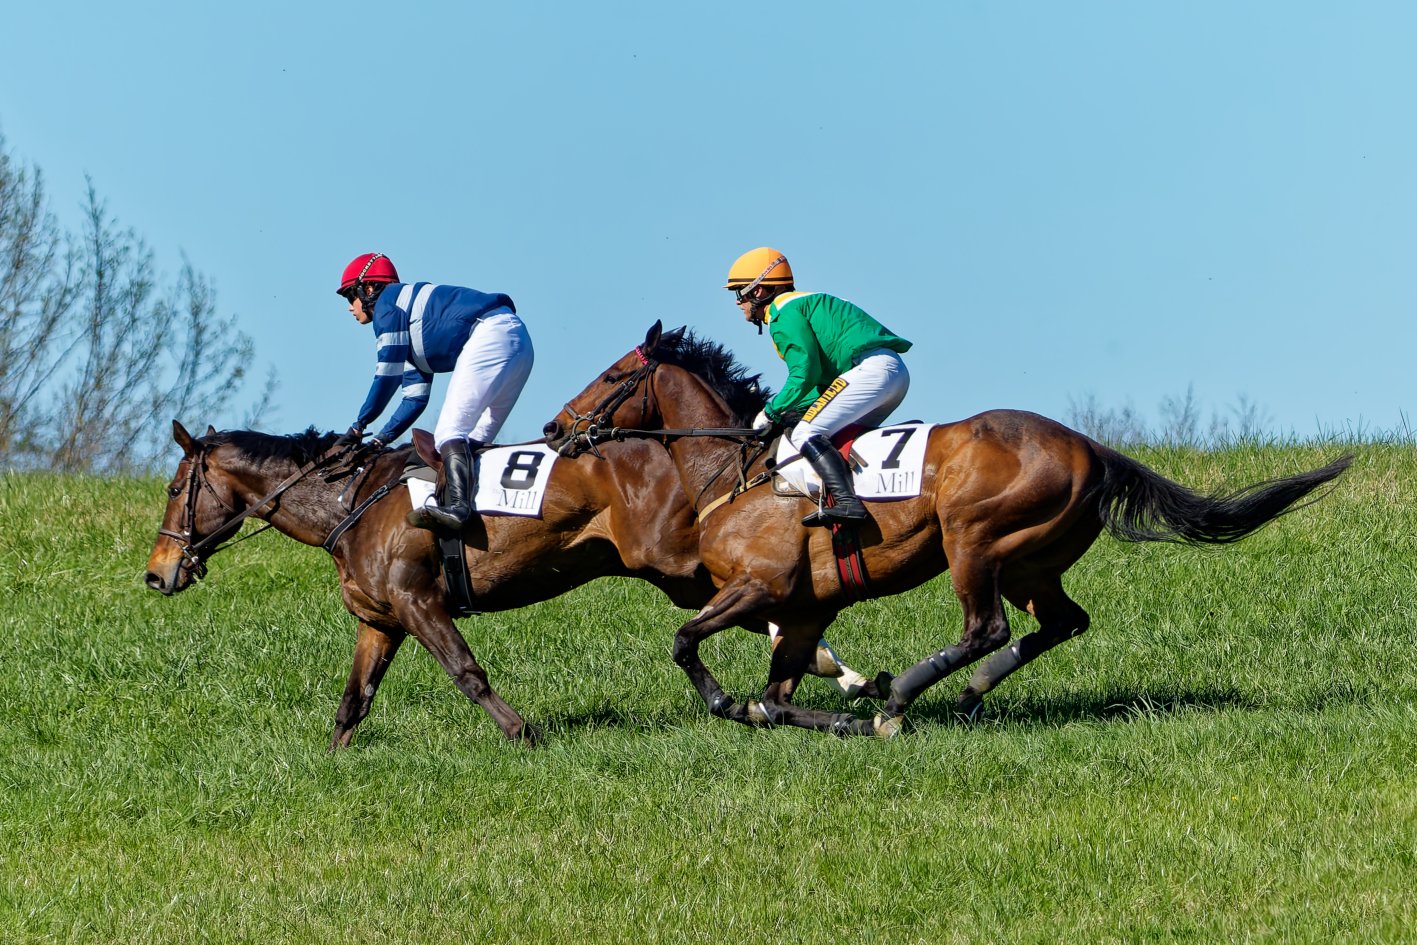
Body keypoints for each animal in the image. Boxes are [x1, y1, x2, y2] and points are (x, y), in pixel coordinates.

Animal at [144, 421, 882, 748]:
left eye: (176, 488)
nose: (156, 572)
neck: (348, 504)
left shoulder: (419, 602)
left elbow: (466, 672)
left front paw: (521, 731)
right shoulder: (379, 619)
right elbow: (353, 701)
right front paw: (334, 760)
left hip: (674, 562)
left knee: (761, 591)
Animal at [543, 322, 1353, 737]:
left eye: (611, 373)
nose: (554, 429)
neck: (731, 473)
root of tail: (1090, 447)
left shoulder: (759, 587)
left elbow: (686, 642)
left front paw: (732, 701)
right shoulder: (802, 609)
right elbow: (775, 696)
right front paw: (829, 713)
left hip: (975, 540)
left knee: (984, 627)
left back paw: (903, 699)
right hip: (1032, 561)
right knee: (1061, 622)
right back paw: (964, 695)